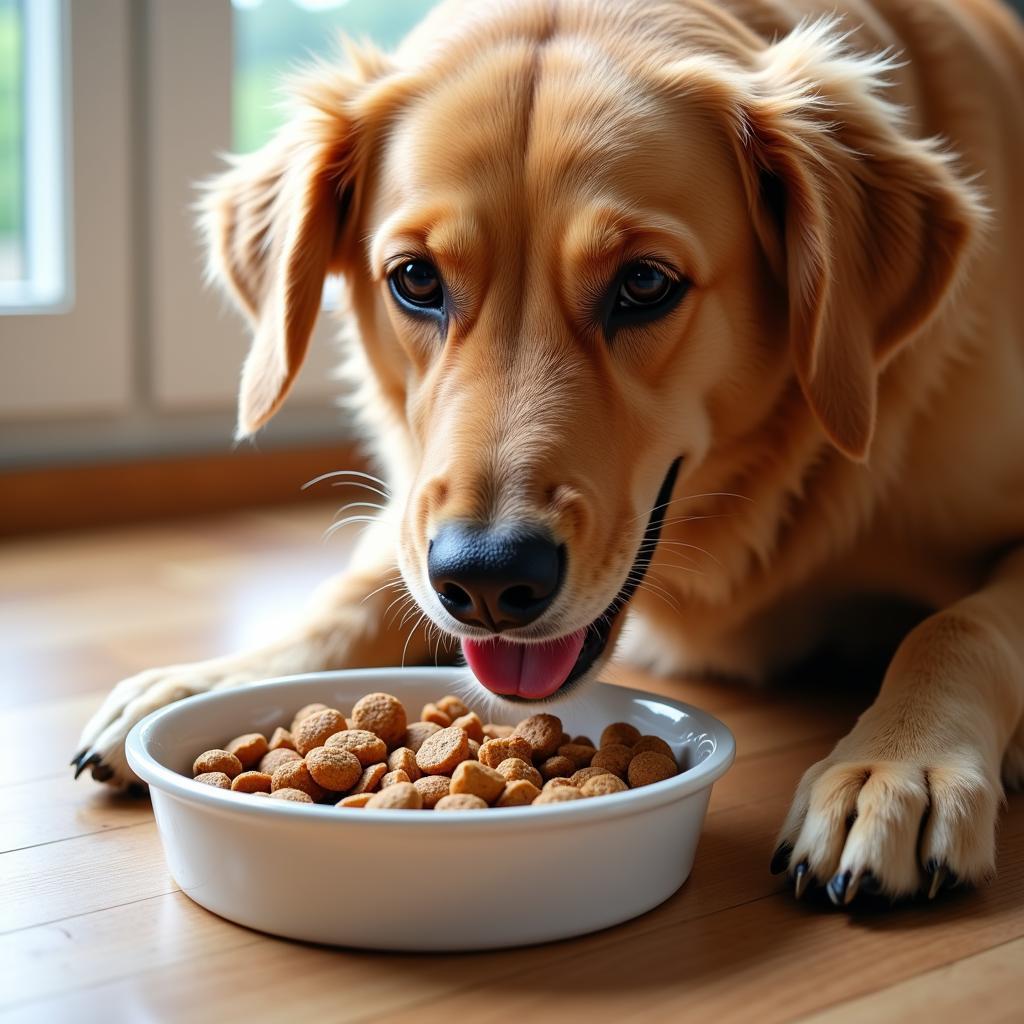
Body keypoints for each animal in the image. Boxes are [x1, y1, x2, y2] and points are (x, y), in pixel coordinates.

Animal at [75, 0, 1024, 909]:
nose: (487, 581)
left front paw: (895, 766)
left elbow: (957, 625)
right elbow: (353, 595)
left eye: (645, 283)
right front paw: (205, 682)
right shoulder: (413, 510)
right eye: (414, 279)